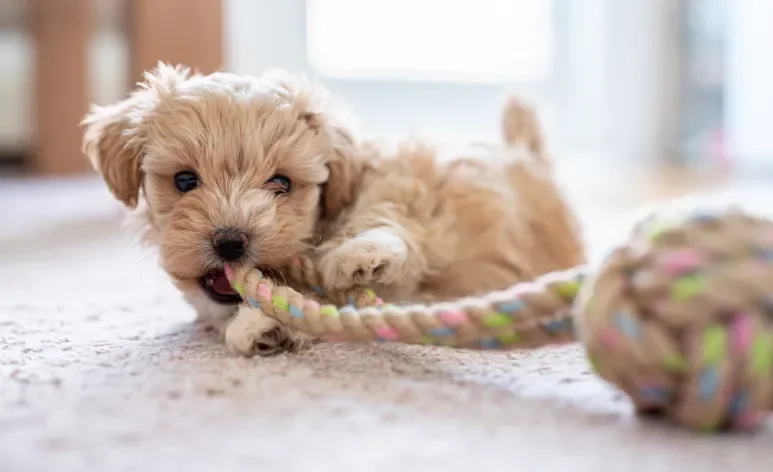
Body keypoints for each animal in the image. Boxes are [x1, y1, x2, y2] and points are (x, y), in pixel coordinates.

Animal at [81, 63, 584, 358]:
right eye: (185, 181)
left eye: (282, 183)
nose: (230, 241)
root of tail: (528, 153)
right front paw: (266, 324)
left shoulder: (407, 188)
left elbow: (389, 222)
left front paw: (358, 256)